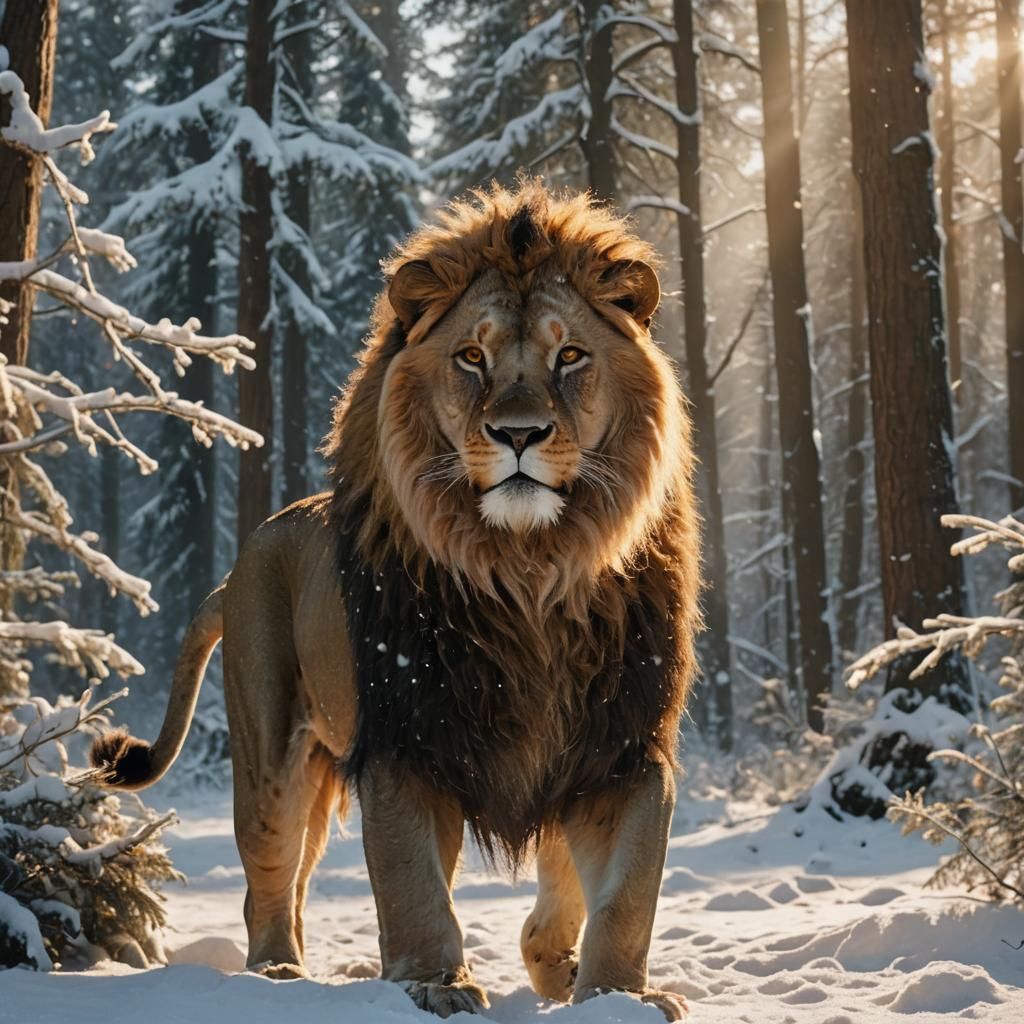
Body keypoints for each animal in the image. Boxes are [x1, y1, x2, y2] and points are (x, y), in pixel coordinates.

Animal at [91, 180, 700, 1021]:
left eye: (570, 355)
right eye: (472, 357)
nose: (519, 434)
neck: (529, 571)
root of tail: (242, 559)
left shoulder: (620, 748)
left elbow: (624, 891)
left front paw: (612, 992)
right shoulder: (406, 744)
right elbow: (413, 886)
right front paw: (435, 983)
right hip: (272, 759)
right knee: (270, 880)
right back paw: (278, 974)